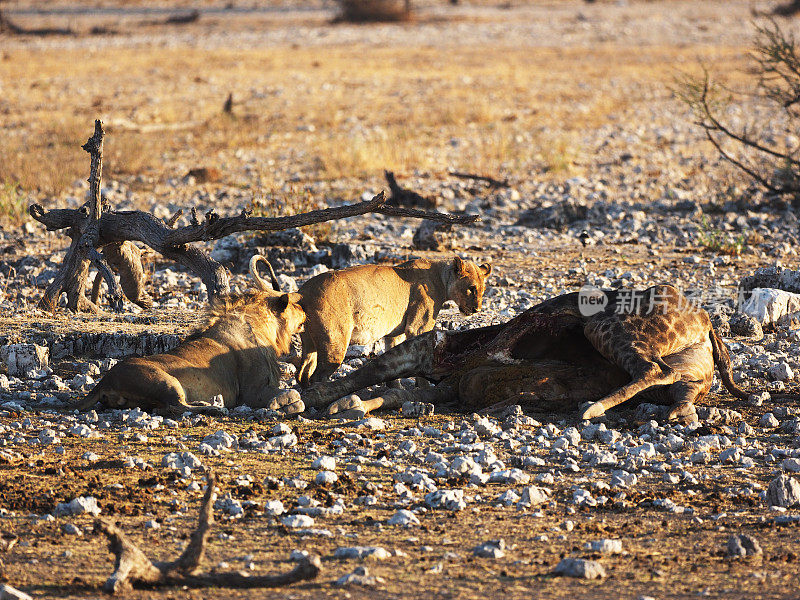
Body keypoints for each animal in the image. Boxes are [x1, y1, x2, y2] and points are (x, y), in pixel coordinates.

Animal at [75, 292, 306, 418]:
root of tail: (104, 381)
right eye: (294, 305)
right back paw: (215, 409)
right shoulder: (251, 393)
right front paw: (284, 404)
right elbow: (292, 395)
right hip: (165, 381)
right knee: (175, 407)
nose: (304, 310)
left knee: (165, 409)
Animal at [253, 254, 490, 386]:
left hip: (309, 342)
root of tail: (302, 291)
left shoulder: (394, 335)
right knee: (317, 376)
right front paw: (422, 389)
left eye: (483, 289)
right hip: (335, 342)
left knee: (302, 373)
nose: (477, 309)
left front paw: (396, 389)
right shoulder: (418, 328)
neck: (441, 276)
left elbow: (394, 363)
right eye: (471, 288)